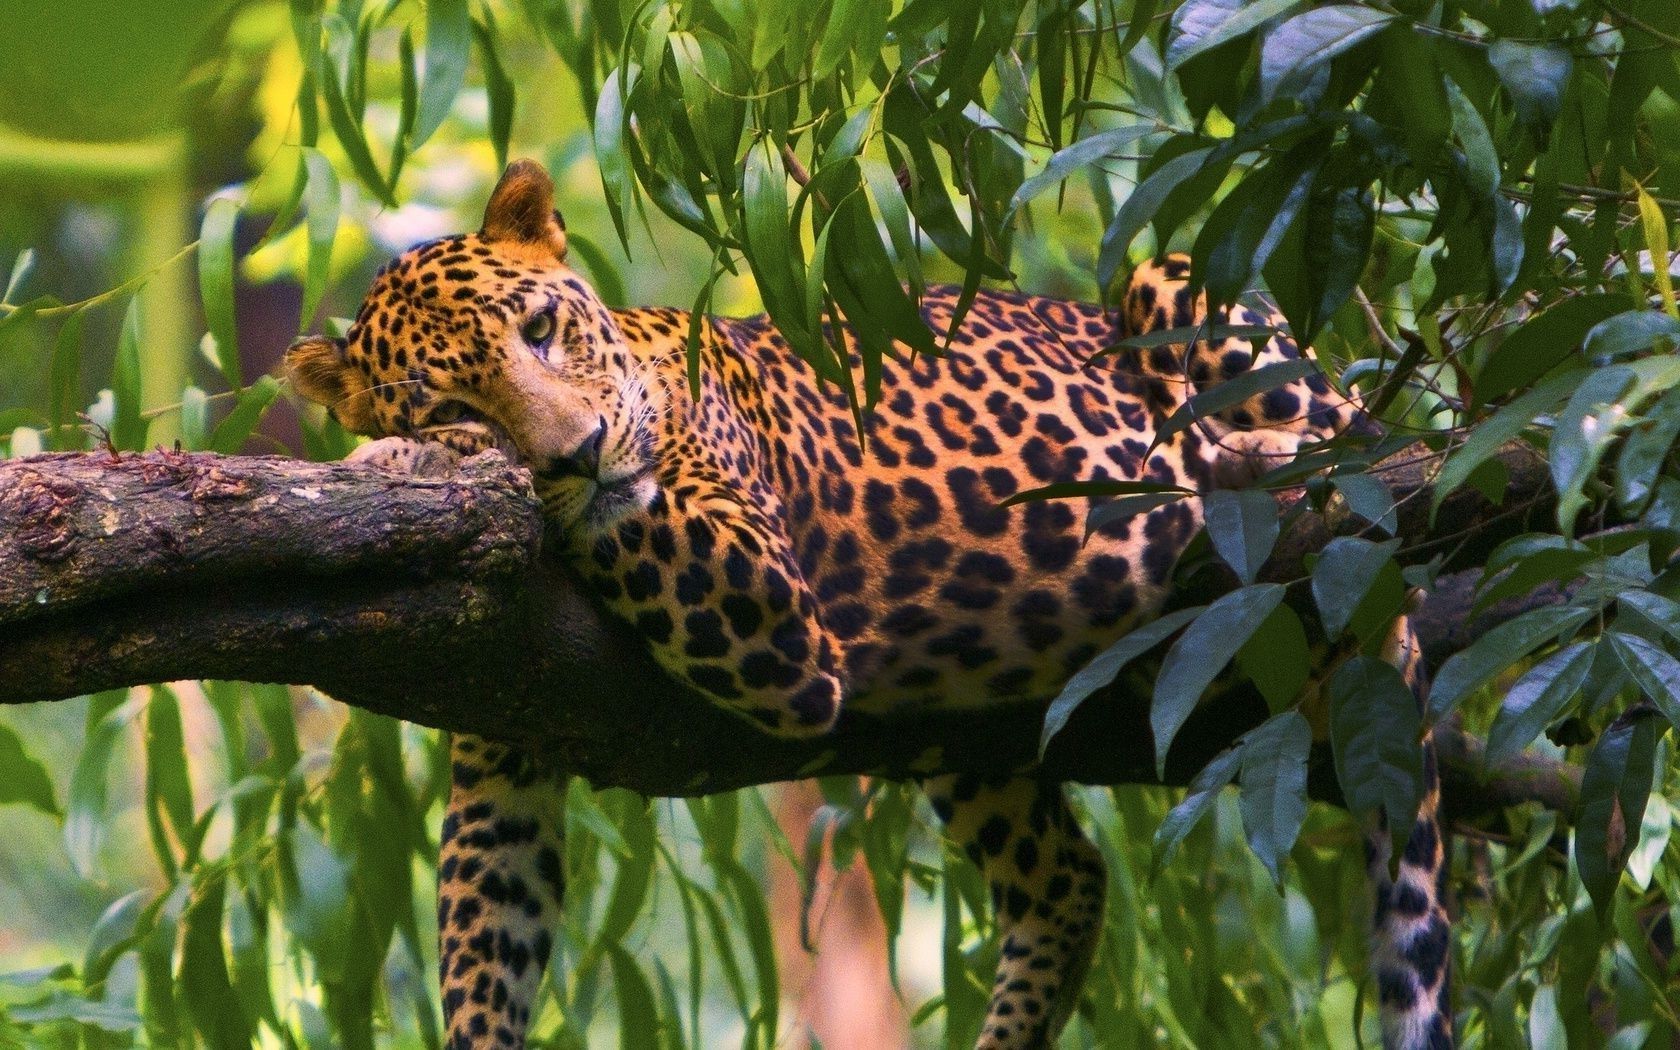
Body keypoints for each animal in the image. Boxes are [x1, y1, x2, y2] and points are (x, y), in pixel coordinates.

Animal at [285, 159, 1452, 1050]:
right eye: (452, 393)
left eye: (538, 329)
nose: (581, 451)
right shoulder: (506, 738)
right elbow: (488, 944)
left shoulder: (761, 603)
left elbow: (628, 517)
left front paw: (417, 462)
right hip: (968, 722)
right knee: (1068, 880)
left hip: (1184, 291)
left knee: (1367, 438)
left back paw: (1250, 459)